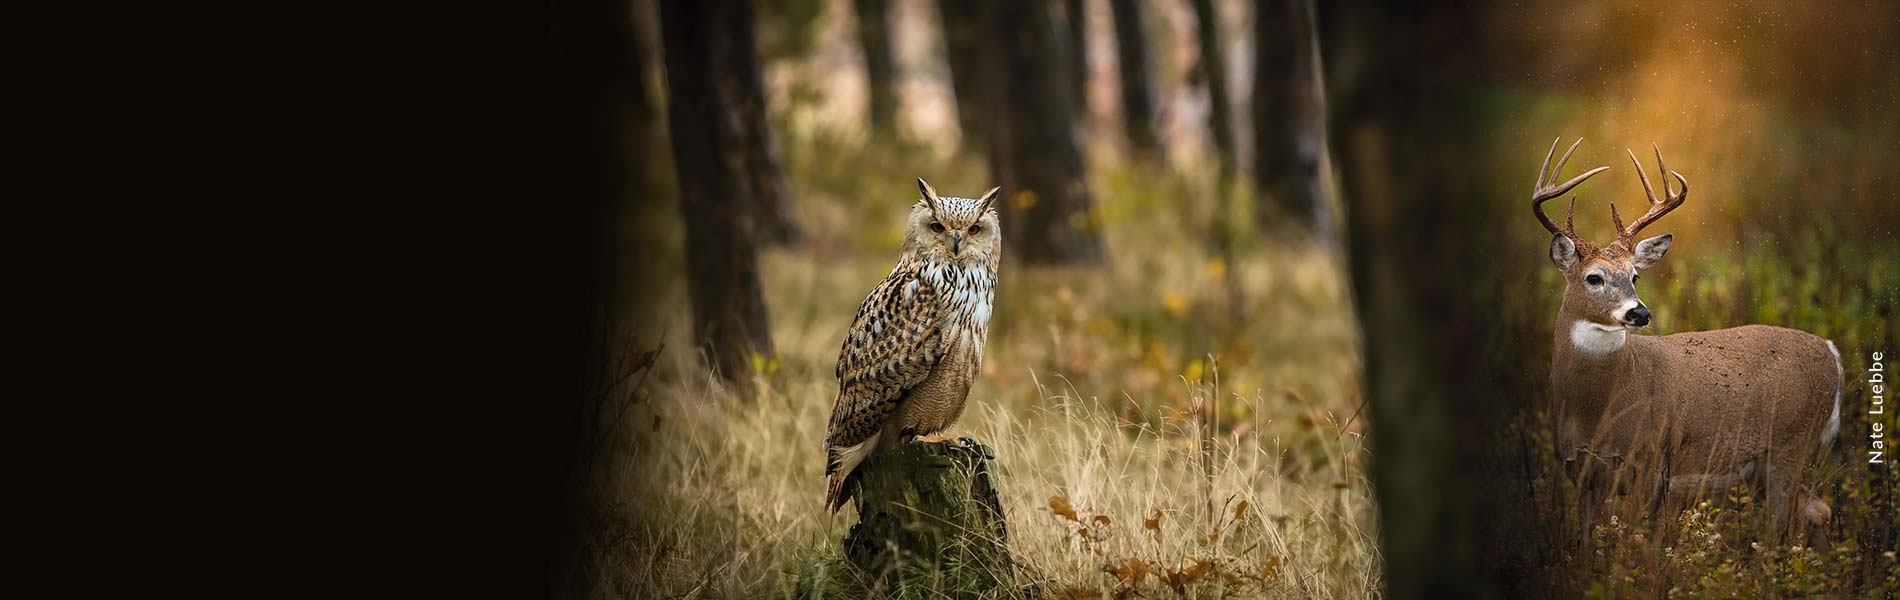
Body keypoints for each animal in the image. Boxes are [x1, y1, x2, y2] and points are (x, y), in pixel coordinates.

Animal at [1529, 138, 1843, 547]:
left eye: (1635, 276)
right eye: (1593, 278)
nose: (1639, 313)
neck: (1597, 408)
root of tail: (1831, 351)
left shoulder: (1654, 463)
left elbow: (1646, 545)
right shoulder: (1580, 472)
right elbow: (1587, 544)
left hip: (1791, 443)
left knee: (1785, 524)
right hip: (1761, 466)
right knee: (1819, 510)